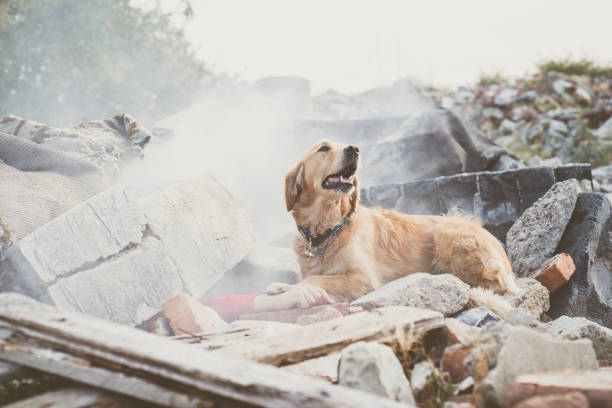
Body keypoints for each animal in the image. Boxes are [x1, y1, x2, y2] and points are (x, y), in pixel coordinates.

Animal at [280, 139, 520, 314]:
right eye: (323, 148)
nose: (354, 149)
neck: (327, 230)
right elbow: (306, 278)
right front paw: (283, 288)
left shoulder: (364, 279)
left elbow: (315, 279)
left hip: (447, 232)